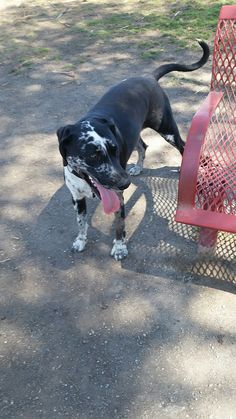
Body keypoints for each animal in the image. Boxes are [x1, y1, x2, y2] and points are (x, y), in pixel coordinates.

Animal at [57, 41, 208, 260]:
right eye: (93, 155)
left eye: (114, 150)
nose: (125, 183)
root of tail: (148, 77)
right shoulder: (77, 198)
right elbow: (81, 222)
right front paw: (80, 241)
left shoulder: (118, 197)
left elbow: (120, 224)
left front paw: (120, 247)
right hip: (136, 132)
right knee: (143, 146)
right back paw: (138, 166)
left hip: (167, 129)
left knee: (183, 145)